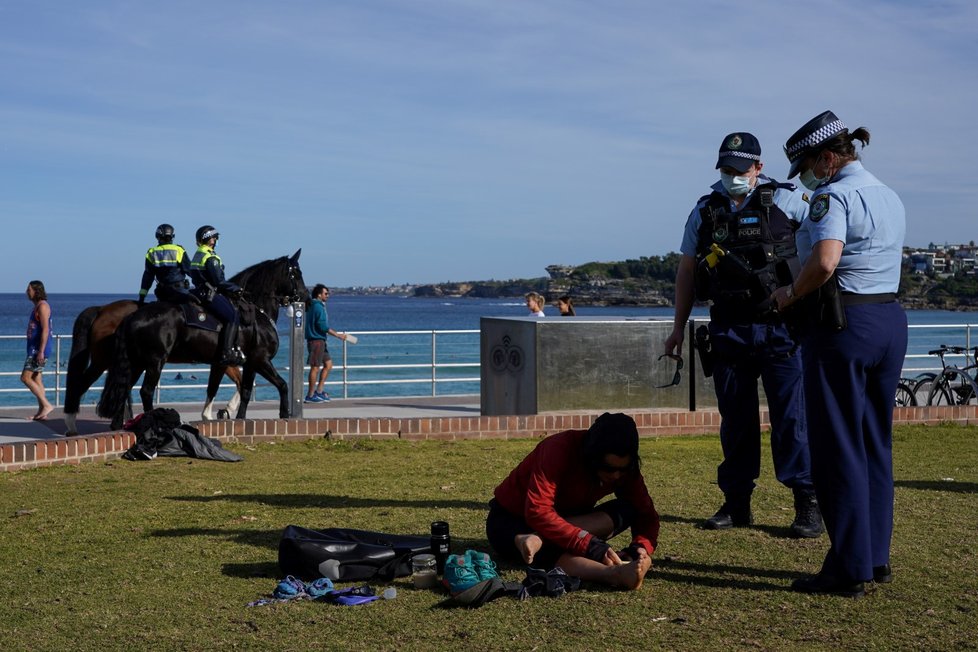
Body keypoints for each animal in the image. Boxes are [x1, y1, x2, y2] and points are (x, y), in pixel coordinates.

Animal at [63, 302, 242, 438]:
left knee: (119, 388)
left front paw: (227, 410)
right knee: (82, 386)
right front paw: (223, 411)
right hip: (106, 363)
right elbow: (231, 384)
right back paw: (72, 424)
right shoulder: (222, 362)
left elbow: (238, 382)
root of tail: (101, 310)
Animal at [97, 250, 306, 428]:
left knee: (124, 389)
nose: (307, 297)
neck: (257, 312)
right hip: (155, 361)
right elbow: (282, 384)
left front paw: (232, 417)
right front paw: (284, 414)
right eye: (296, 273)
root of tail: (132, 317)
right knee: (146, 391)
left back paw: (118, 424)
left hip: (137, 362)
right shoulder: (260, 359)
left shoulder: (237, 363)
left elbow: (230, 389)